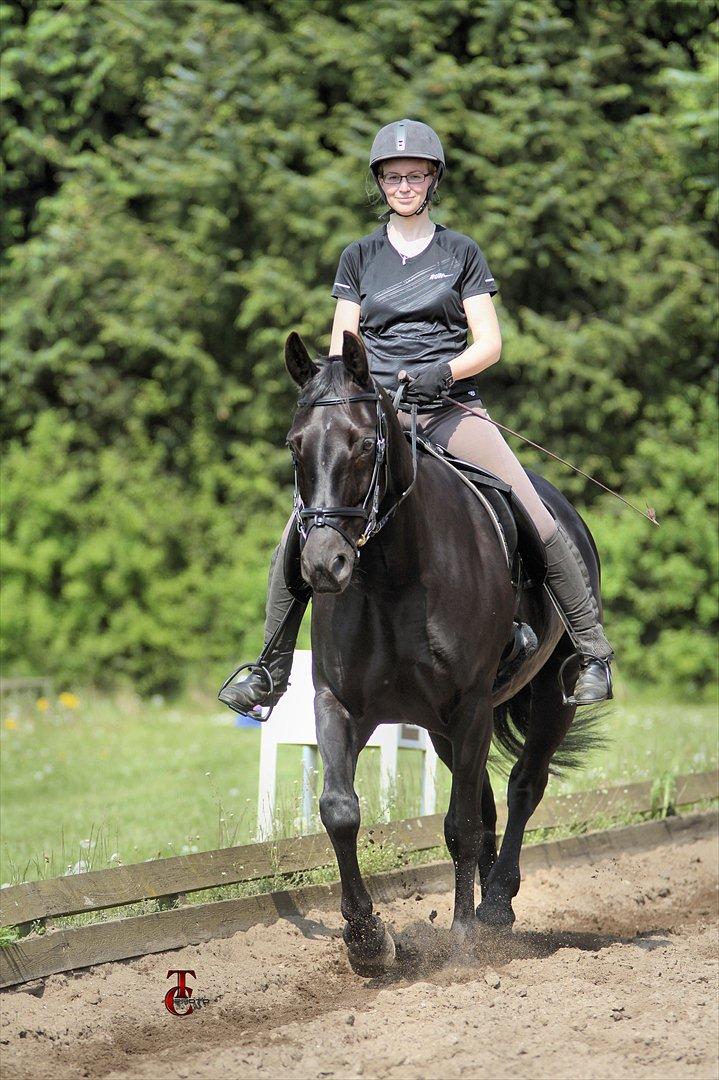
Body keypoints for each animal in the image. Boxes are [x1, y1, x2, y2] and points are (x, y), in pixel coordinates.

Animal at [282, 330, 600, 980]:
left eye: (365, 444)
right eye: (295, 446)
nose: (324, 565)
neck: (394, 574)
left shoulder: (472, 703)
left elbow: (460, 827)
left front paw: (460, 944)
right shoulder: (340, 703)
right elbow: (340, 810)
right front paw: (367, 941)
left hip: (545, 700)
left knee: (522, 787)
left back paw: (495, 906)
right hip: (444, 729)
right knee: (487, 800)